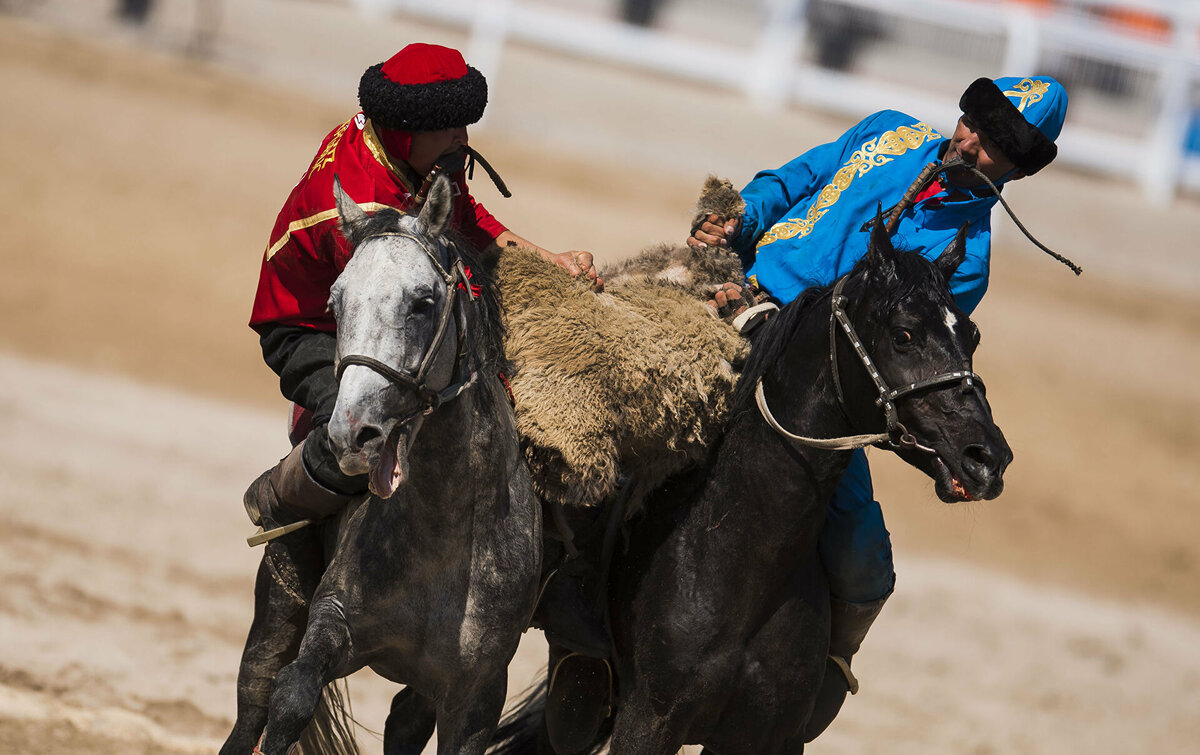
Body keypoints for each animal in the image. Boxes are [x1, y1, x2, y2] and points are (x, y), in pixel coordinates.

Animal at [223, 175, 542, 753]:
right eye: (335, 301)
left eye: (422, 302)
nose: (351, 433)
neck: (444, 535)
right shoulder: (333, 624)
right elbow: (292, 696)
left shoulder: (478, 693)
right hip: (276, 612)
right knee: (253, 702)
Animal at [492, 218, 1008, 753]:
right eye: (903, 334)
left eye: (971, 335)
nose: (987, 458)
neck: (742, 568)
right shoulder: (648, 722)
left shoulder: (769, 738)